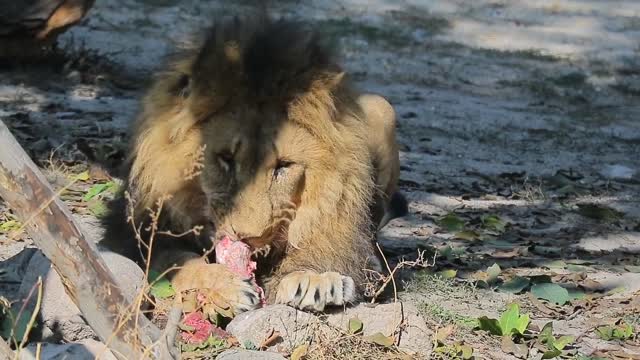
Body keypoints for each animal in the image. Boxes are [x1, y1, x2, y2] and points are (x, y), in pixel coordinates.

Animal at [103, 17, 408, 316]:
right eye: (226, 158)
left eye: (284, 166)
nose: (249, 239)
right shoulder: (132, 232)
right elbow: (178, 261)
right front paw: (225, 286)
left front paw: (314, 278)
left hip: (381, 106)